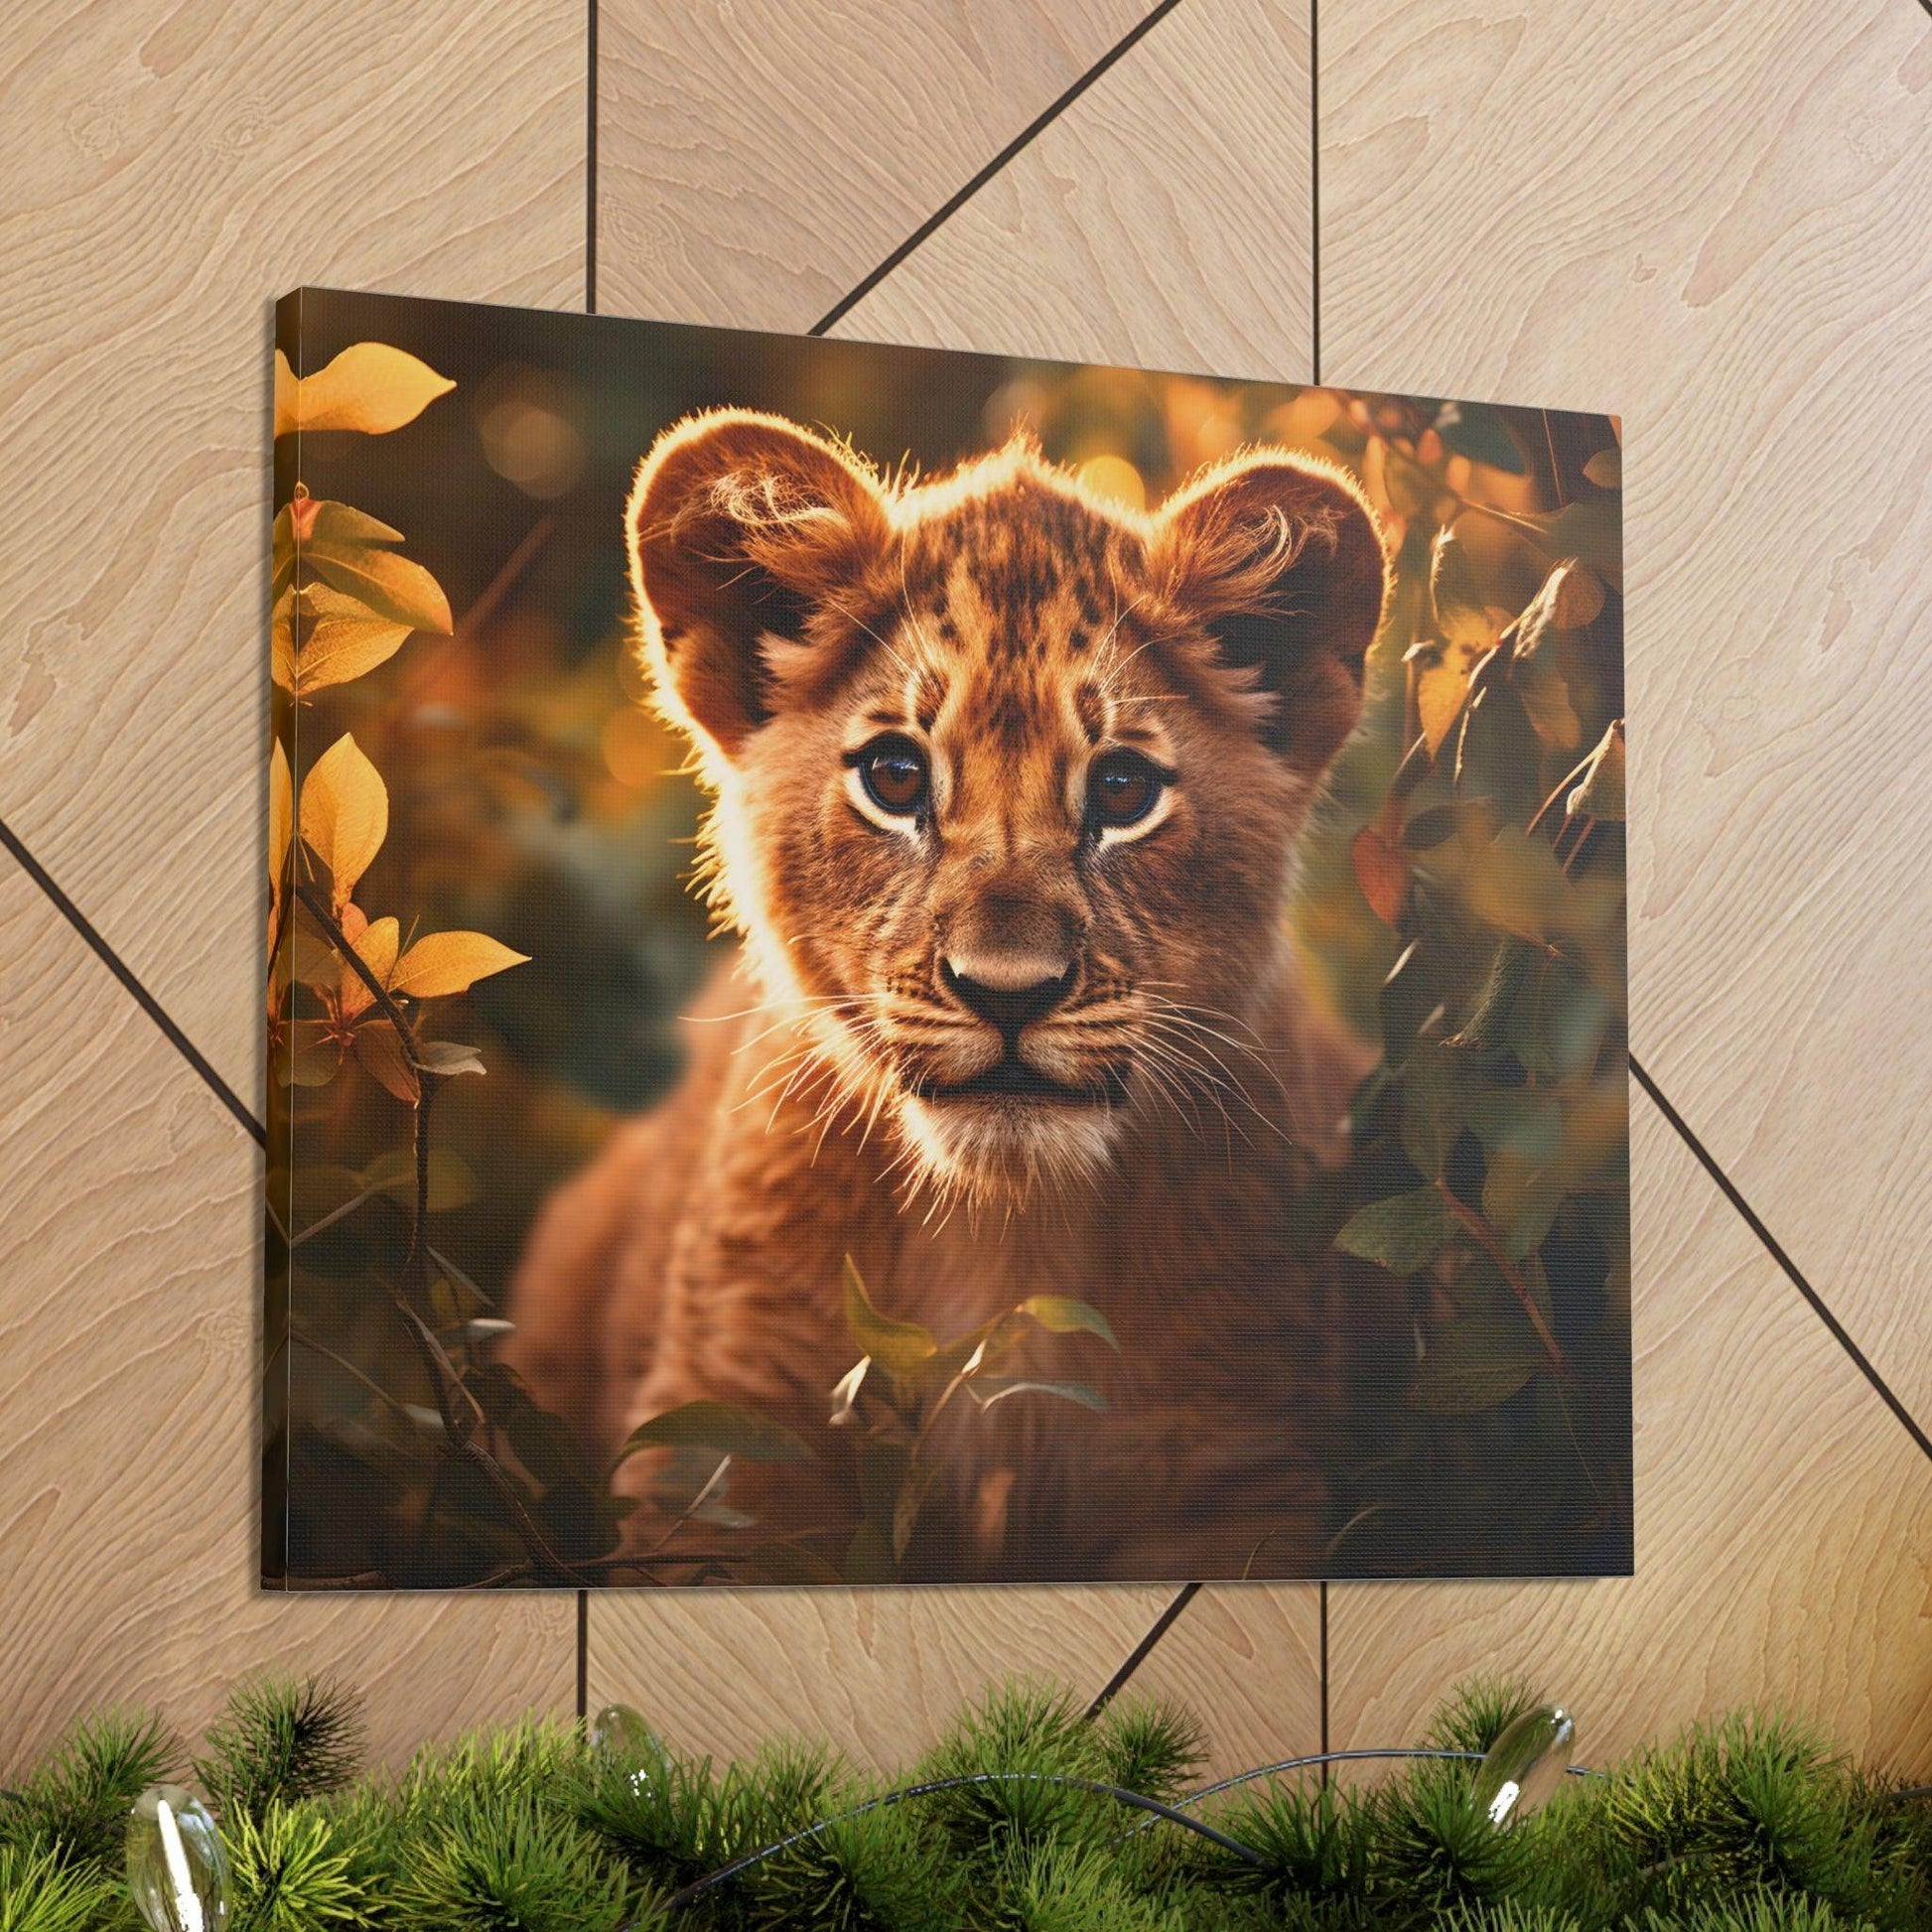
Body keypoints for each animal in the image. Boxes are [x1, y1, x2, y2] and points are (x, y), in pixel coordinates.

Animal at [501, 406, 1390, 1581]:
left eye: (1121, 789)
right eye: (895, 778)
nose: (1007, 993)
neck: (1003, 1234)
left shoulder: (1230, 1470)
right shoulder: (727, 1450)